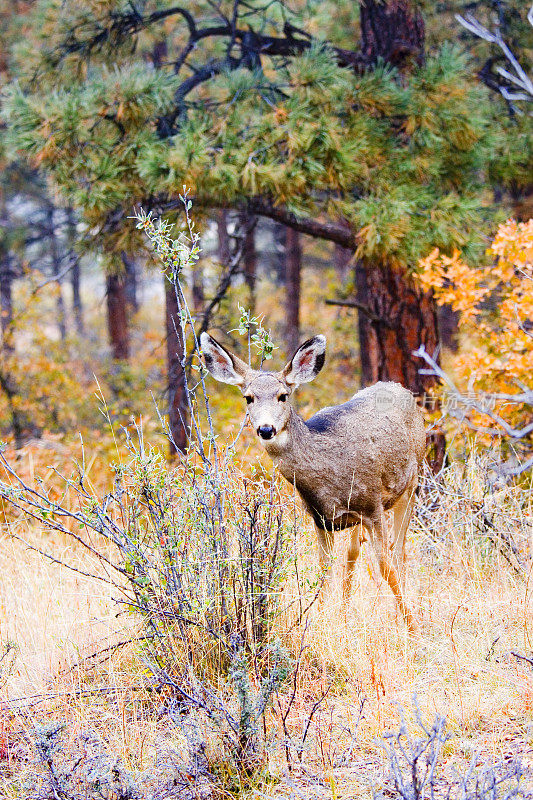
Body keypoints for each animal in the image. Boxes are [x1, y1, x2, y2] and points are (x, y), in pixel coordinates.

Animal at [200, 332, 424, 632]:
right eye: (248, 397)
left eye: (283, 396)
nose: (266, 429)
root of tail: (400, 388)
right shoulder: (321, 519)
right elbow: (324, 572)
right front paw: (323, 620)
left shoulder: (373, 506)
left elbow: (386, 566)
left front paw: (412, 627)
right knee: (353, 552)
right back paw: (346, 611)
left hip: (411, 483)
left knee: (398, 552)